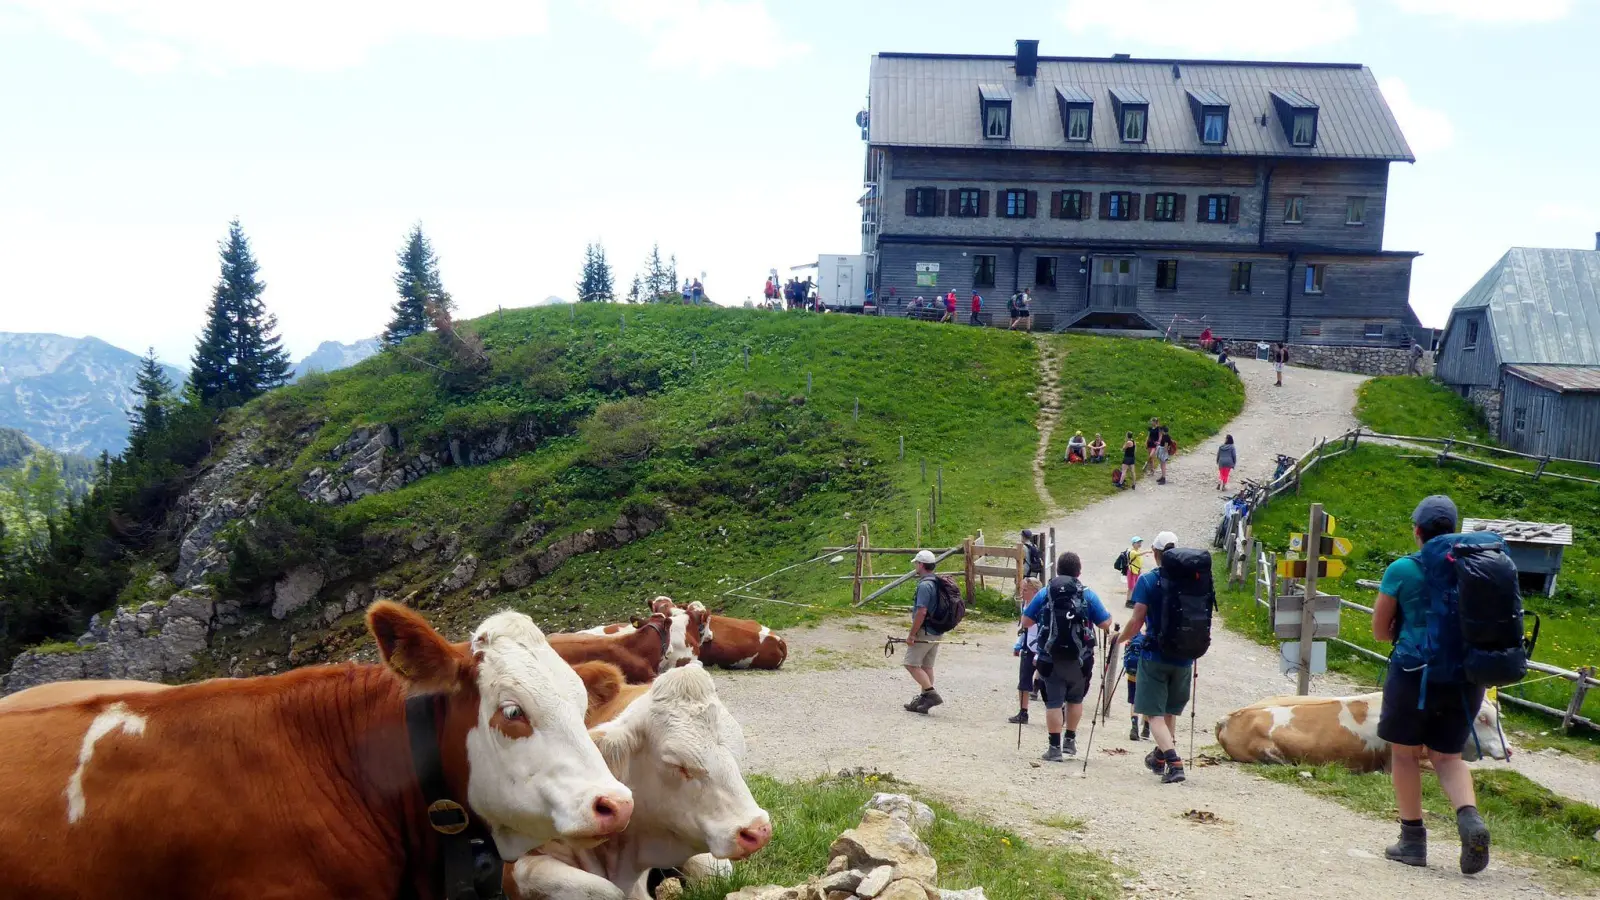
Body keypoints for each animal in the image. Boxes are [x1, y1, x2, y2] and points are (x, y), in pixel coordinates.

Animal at [502, 650, 771, 896]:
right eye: (677, 764)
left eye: (737, 754)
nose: (757, 831)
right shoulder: (515, 866)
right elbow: (605, 890)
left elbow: (714, 871)